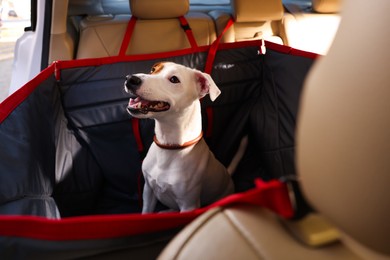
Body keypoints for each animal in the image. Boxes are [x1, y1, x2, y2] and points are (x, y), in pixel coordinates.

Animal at [125, 62, 247, 212]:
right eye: (153, 70)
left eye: (174, 79)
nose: (130, 79)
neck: (169, 146)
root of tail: (228, 176)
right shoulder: (148, 191)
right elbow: (146, 212)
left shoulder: (188, 205)